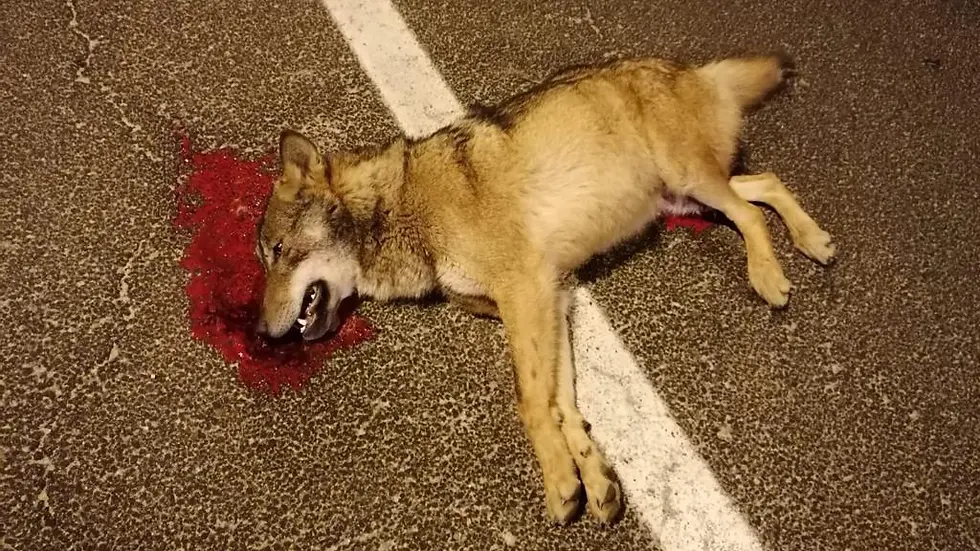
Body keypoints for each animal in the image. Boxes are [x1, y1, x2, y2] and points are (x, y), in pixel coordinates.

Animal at [254, 53, 836, 524]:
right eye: (264, 260)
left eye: (277, 252)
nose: (258, 332)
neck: (400, 208)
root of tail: (693, 69)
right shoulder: (552, 297)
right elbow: (562, 401)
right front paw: (592, 475)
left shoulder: (526, 291)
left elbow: (532, 402)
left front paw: (558, 479)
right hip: (685, 199)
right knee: (766, 185)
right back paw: (813, 240)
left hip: (690, 182)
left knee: (751, 213)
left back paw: (769, 274)